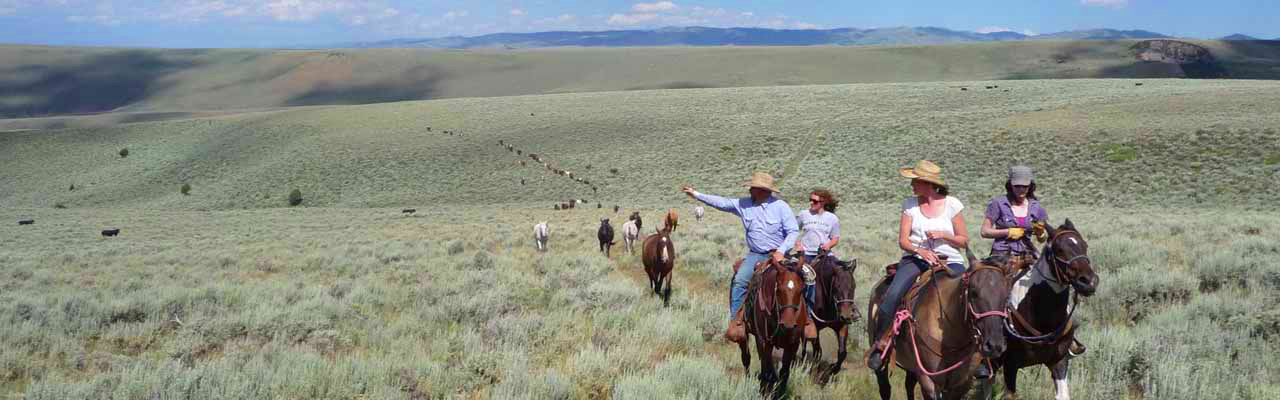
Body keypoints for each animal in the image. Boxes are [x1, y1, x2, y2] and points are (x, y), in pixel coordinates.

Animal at [737, 256, 803, 397]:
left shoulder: (793, 344)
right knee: (747, 358)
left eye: (801, 290)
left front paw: (780, 394)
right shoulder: (763, 341)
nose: (788, 324)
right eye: (779, 290)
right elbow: (766, 370)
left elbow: (784, 372)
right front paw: (763, 392)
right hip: (748, 335)